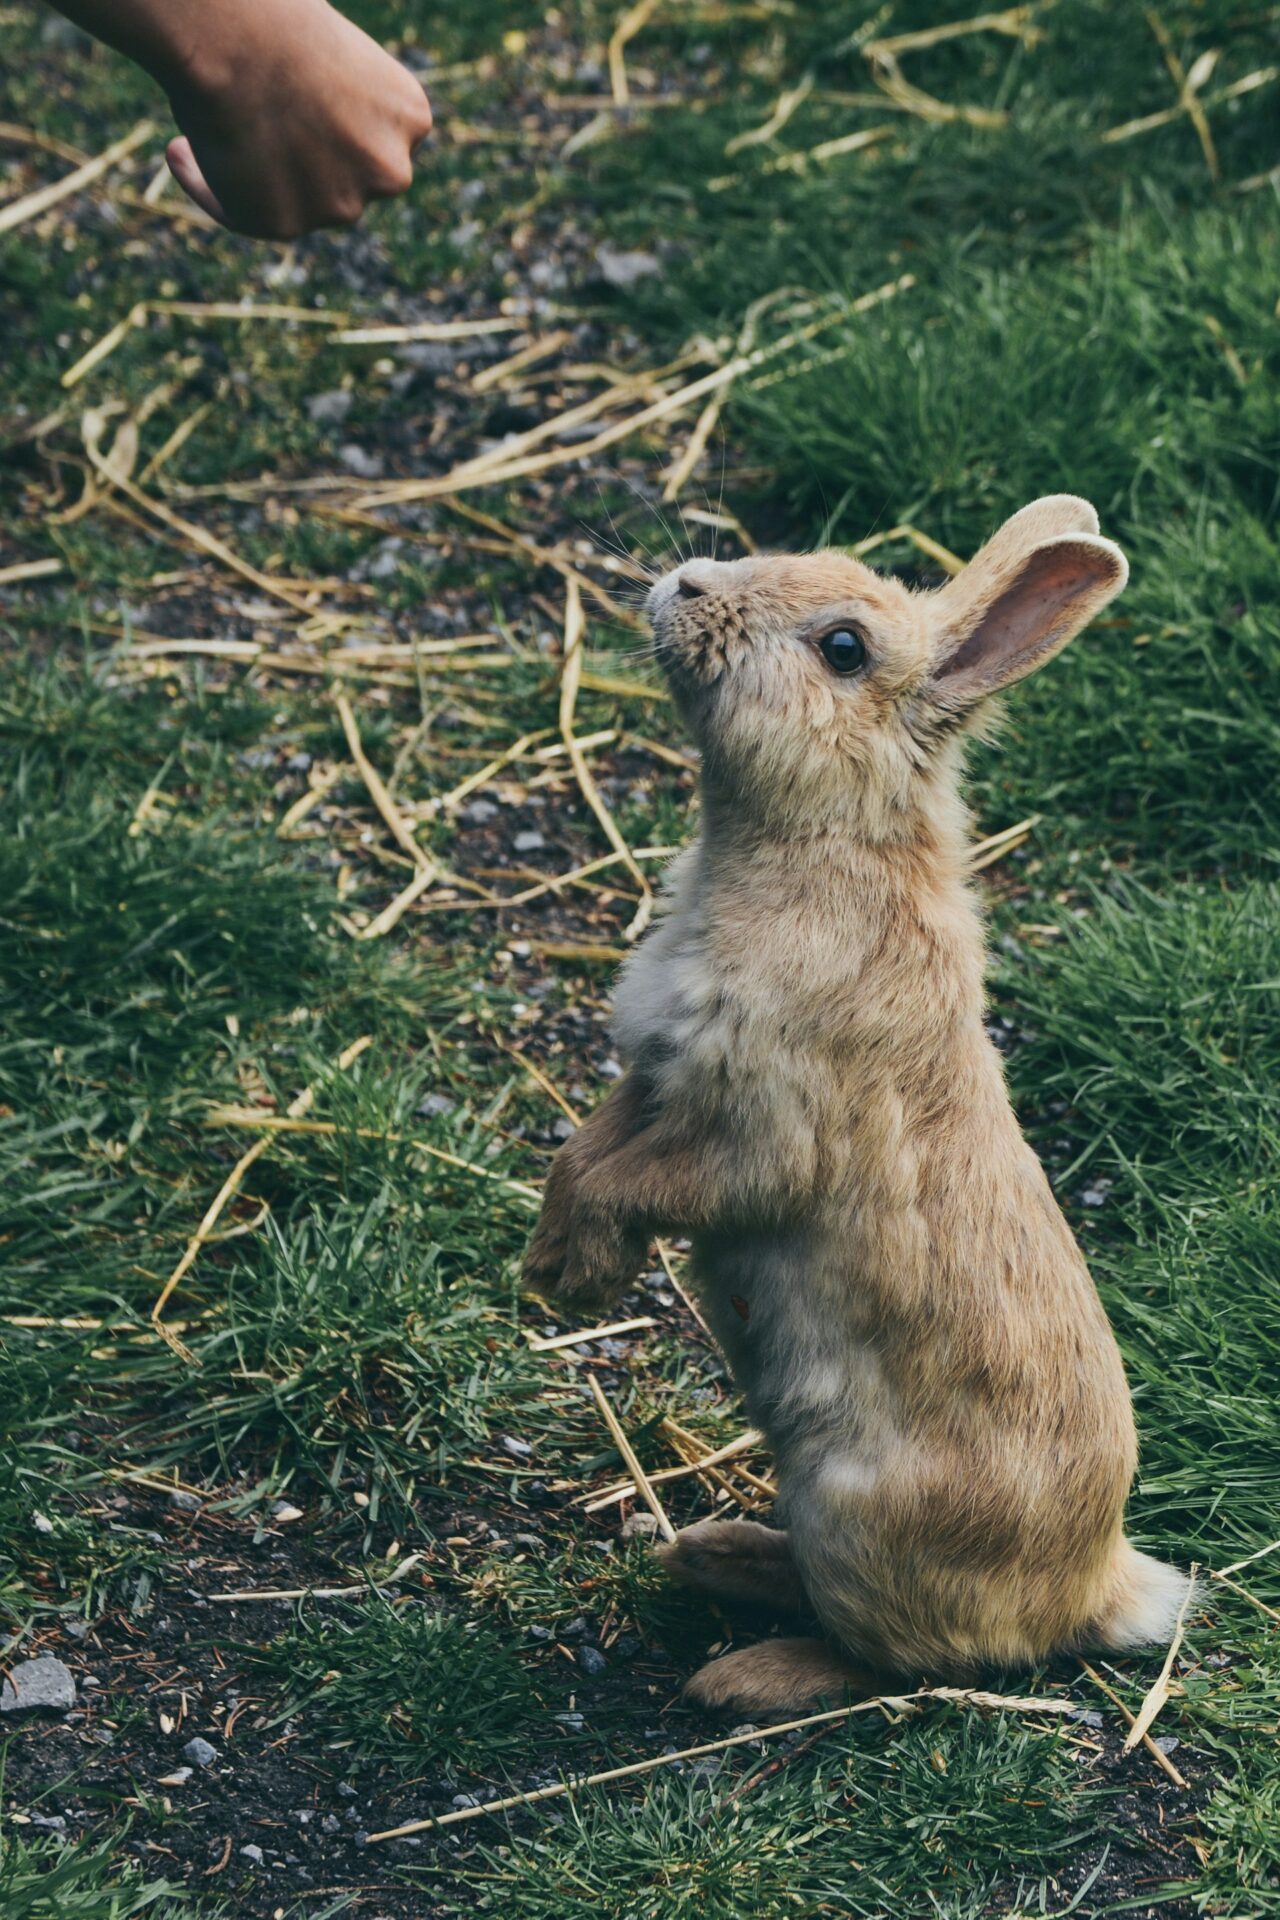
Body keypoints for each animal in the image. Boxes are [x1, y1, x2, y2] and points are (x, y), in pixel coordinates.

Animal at [521, 495, 1189, 1712]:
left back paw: (740, 1673)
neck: (815, 843)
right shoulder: (653, 1078)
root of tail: (1098, 1587)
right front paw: (551, 1267)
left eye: (842, 649)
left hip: (854, 1516)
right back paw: (709, 1553)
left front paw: (577, 1277)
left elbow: (643, 1183)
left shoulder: (755, 1132)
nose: (686, 584)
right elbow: (581, 1155)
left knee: (892, 1659)